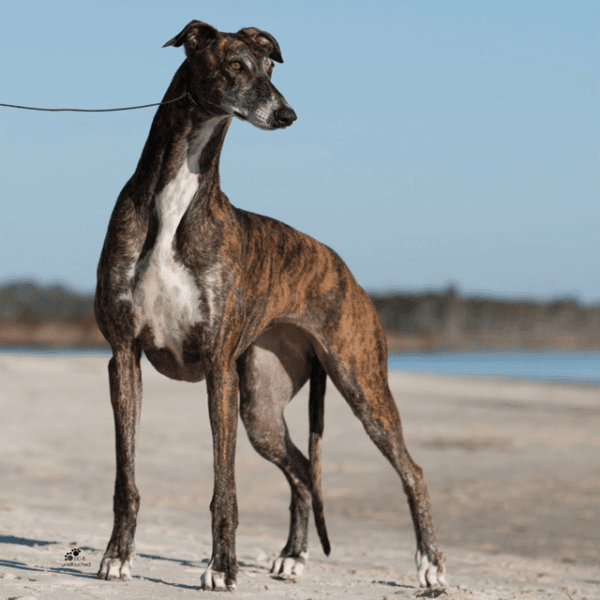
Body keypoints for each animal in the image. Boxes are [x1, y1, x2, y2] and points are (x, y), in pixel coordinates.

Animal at [95, 18, 446, 592]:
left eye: (270, 69)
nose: (287, 114)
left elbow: (225, 488)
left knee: (411, 471)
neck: (176, 203)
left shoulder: (218, 365)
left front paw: (222, 567)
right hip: (261, 406)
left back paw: (431, 565)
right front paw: (117, 557)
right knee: (303, 470)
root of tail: (341, 266)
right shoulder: (124, 354)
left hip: (360, 380)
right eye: (235, 64)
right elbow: (127, 477)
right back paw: (292, 555)